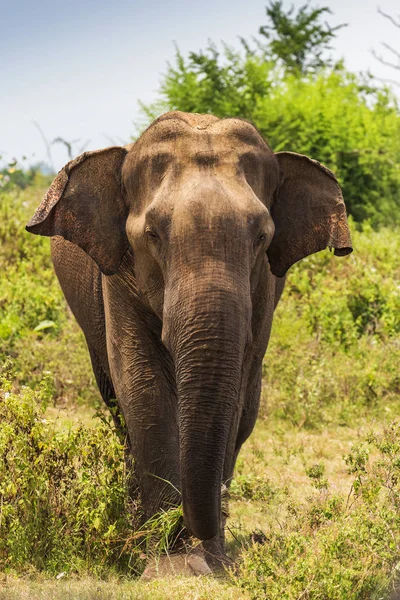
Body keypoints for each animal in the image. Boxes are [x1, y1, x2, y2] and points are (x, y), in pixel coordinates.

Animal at [26, 111, 352, 576]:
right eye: (153, 235)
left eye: (261, 238)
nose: (217, 526)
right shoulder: (118, 277)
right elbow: (142, 386)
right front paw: (167, 564)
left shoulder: (263, 293)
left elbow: (237, 394)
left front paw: (209, 562)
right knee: (119, 409)